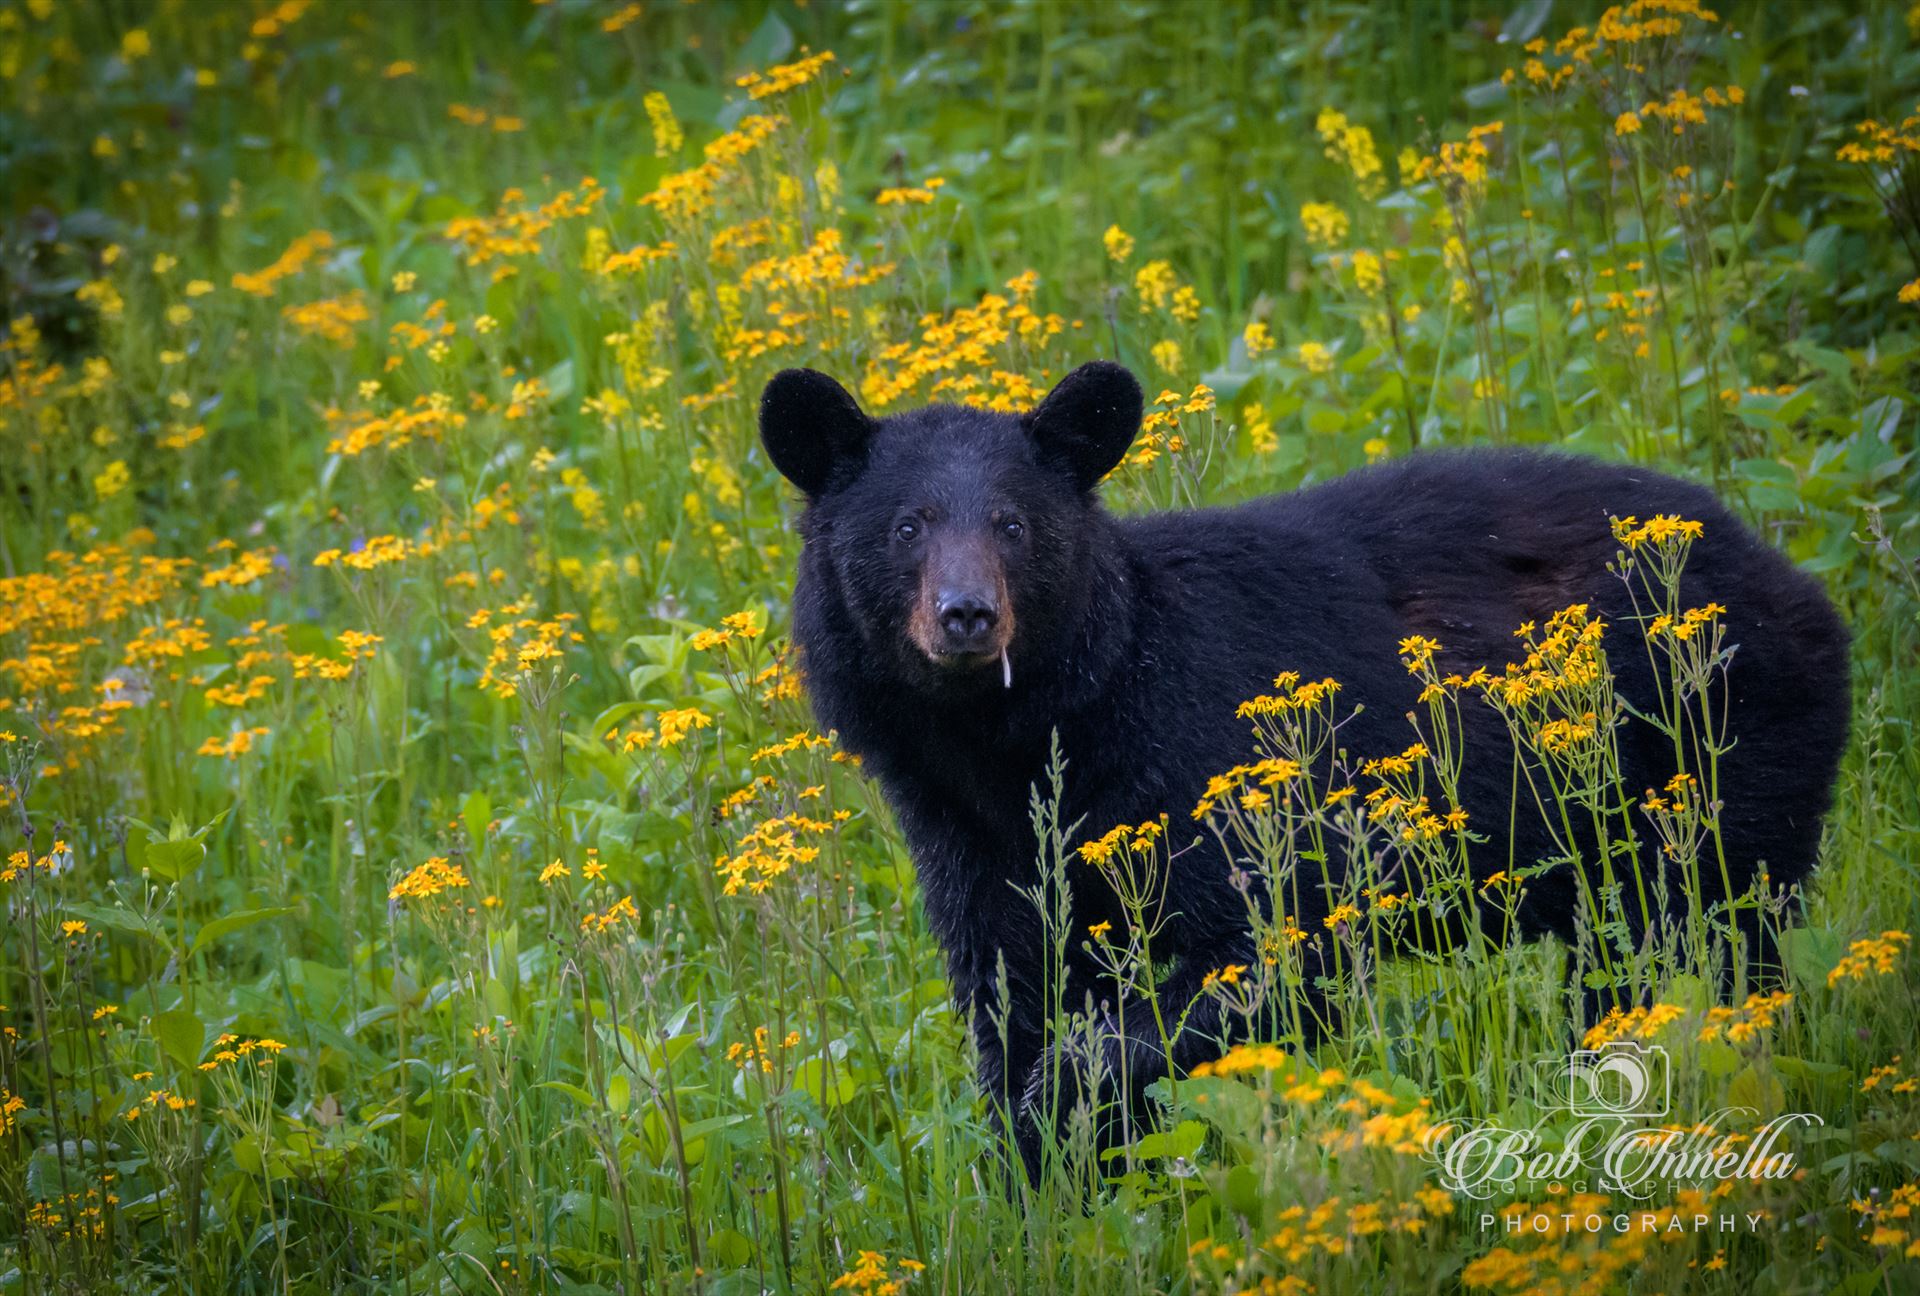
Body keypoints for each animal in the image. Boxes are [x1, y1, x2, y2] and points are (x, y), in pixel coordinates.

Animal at [756, 359, 1850, 1167]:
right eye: (907, 527)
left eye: (1014, 526)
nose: (967, 616)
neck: (1024, 742)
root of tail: (1786, 568)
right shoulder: (976, 845)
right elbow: (1010, 991)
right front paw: (1050, 1185)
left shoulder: (1218, 776)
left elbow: (1270, 952)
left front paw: (1068, 1097)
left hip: (1719, 749)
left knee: (1712, 932)